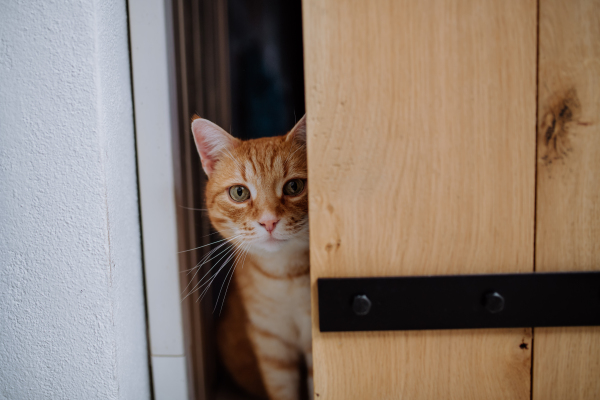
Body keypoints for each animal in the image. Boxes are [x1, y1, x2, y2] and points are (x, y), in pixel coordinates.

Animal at [192, 113, 314, 400]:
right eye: (239, 192)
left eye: (294, 186)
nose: (269, 221)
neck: (284, 278)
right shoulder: (270, 345)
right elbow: (282, 391)